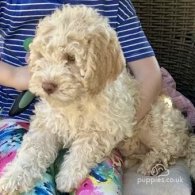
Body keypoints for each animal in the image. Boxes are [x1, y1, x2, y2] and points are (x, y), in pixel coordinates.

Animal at [0, 3, 195, 194]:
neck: (75, 100)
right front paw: (13, 177)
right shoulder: (46, 124)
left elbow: (87, 145)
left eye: (71, 58)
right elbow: (32, 151)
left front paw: (68, 176)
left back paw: (154, 162)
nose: (47, 86)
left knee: (176, 146)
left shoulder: (111, 124)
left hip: (155, 122)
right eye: (42, 56)